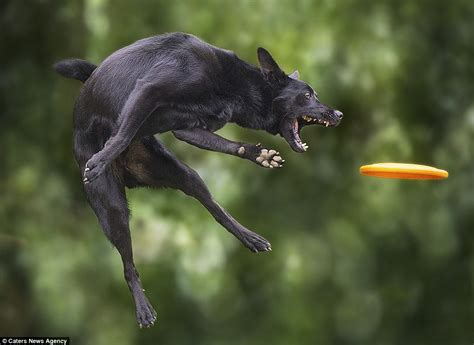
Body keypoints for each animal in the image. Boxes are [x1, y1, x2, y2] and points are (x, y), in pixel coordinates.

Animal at [53, 31, 342, 326]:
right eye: (307, 95)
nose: (339, 114)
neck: (234, 83)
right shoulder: (149, 90)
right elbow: (122, 134)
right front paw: (99, 161)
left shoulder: (189, 129)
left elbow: (230, 146)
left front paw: (257, 154)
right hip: (112, 209)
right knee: (128, 265)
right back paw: (144, 310)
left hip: (184, 175)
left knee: (216, 209)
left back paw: (251, 238)